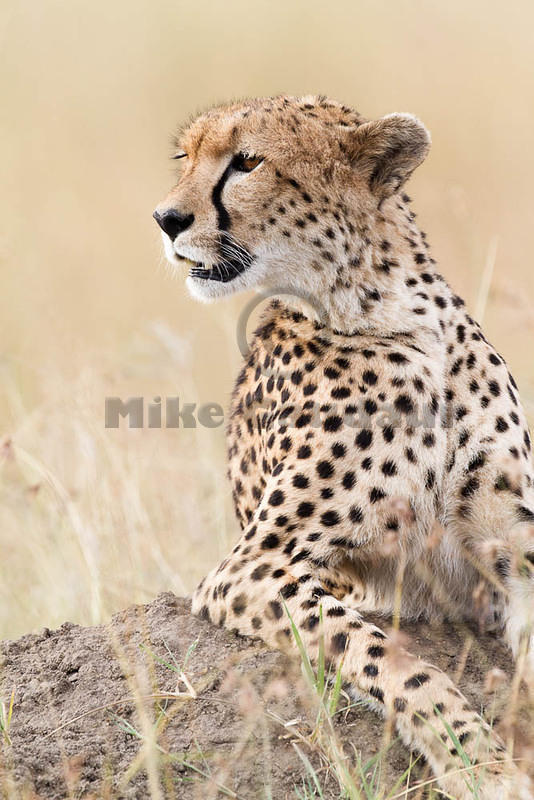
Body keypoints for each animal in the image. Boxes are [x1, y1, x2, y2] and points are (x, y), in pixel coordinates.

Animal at [155, 97, 534, 796]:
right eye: (184, 158)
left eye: (246, 161)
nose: (166, 219)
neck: (386, 310)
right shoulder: (254, 568)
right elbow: (392, 660)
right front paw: (479, 764)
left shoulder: (510, 543)